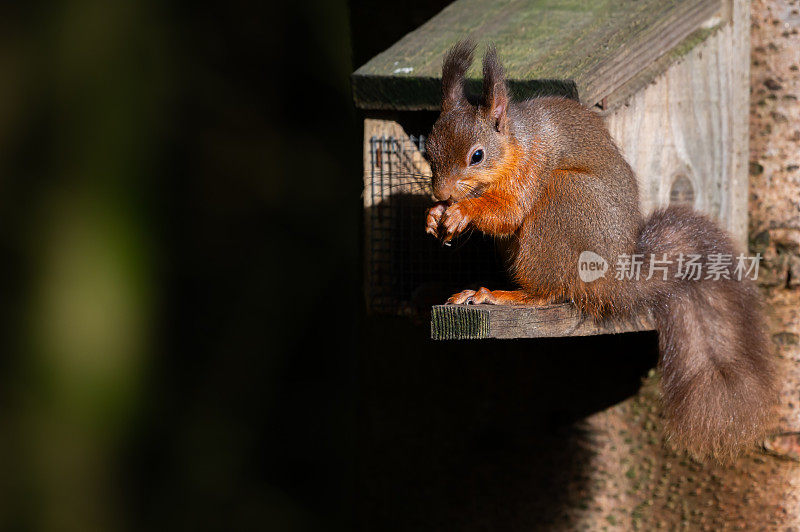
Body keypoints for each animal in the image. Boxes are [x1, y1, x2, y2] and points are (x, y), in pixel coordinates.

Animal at [428, 40, 780, 462]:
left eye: (477, 156)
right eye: (428, 151)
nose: (441, 192)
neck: (515, 142)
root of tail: (616, 277)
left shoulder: (533, 166)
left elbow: (509, 213)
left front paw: (462, 211)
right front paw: (435, 215)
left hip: (566, 201)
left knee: (552, 292)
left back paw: (502, 295)